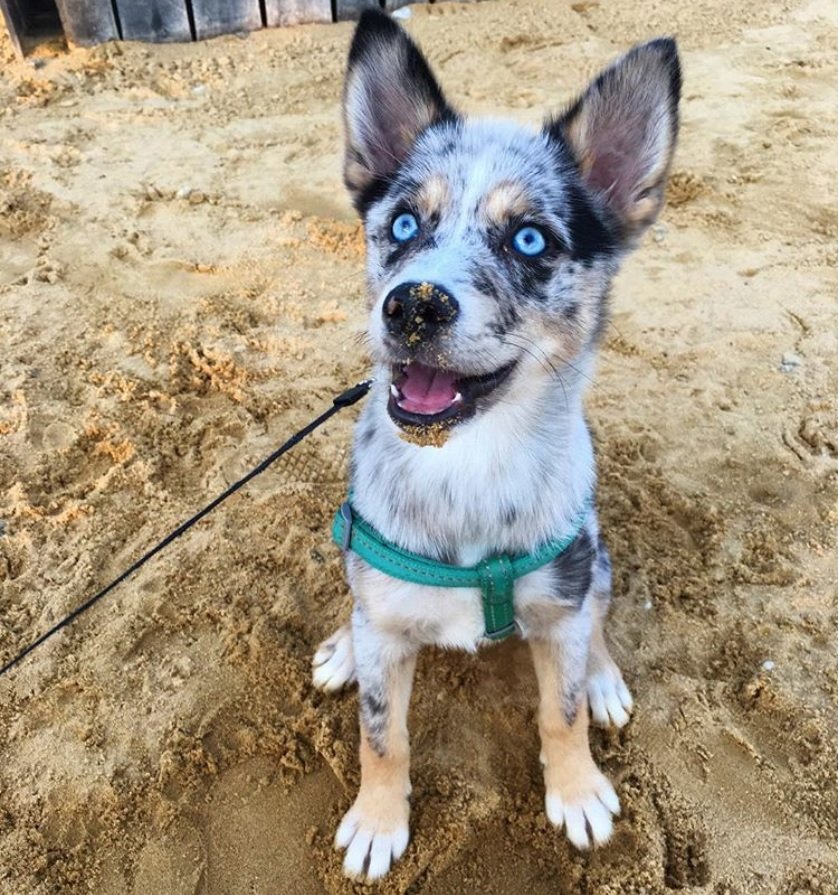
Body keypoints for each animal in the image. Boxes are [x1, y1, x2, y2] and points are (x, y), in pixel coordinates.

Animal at [312, 8, 680, 880]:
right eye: (402, 223)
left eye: (530, 241)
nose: (412, 304)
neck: (465, 466)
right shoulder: (385, 628)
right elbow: (382, 733)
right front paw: (377, 818)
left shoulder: (565, 589)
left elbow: (561, 707)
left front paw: (576, 789)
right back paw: (341, 645)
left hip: (594, 553)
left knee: (595, 614)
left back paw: (605, 673)